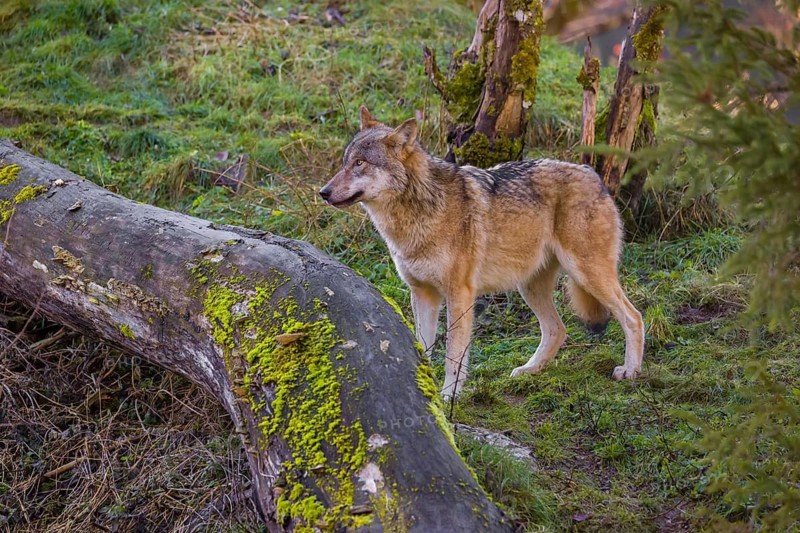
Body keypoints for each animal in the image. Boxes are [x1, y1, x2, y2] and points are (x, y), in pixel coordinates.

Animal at [320, 107, 644, 399]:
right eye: (345, 162)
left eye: (360, 163)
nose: (323, 192)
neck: (417, 215)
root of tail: (594, 175)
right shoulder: (423, 294)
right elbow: (423, 348)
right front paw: (427, 394)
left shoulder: (460, 294)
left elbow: (453, 354)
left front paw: (448, 397)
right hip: (530, 287)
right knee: (558, 329)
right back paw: (529, 370)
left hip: (587, 275)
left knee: (633, 317)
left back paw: (630, 371)